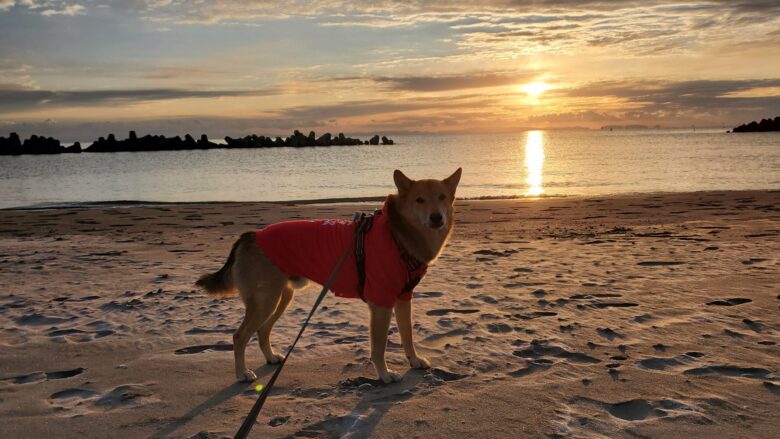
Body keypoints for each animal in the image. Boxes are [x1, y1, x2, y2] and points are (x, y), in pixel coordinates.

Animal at [198, 168, 460, 384]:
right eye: (419, 200)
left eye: (442, 197)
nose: (437, 217)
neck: (397, 235)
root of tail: (250, 235)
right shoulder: (381, 303)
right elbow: (379, 345)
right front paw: (384, 375)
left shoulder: (404, 298)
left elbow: (407, 334)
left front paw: (413, 361)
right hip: (266, 301)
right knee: (239, 336)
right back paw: (242, 373)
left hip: (280, 298)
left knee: (262, 331)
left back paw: (270, 357)